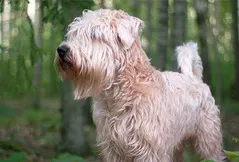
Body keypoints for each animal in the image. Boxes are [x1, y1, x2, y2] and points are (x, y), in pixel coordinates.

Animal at [55, 9, 225, 162]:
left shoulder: (150, 149)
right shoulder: (113, 148)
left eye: (94, 34)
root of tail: (194, 78)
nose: (61, 49)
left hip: (208, 141)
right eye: (73, 34)